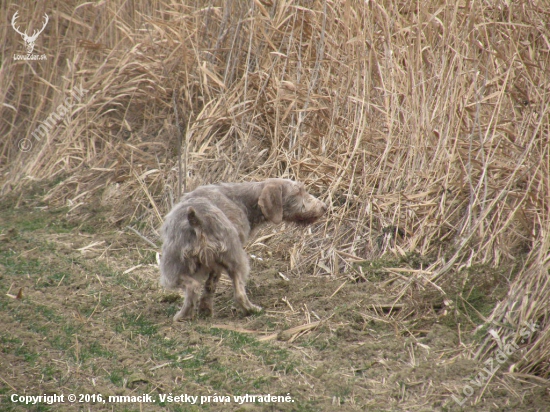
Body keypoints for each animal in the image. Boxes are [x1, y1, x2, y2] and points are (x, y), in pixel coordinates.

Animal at [160, 179, 328, 320]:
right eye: (298, 192)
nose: (324, 207)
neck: (241, 201)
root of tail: (197, 221)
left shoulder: (216, 263)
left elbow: (210, 287)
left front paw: (205, 310)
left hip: (174, 263)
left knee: (193, 287)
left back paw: (183, 316)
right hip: (235, 259)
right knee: (238, 293)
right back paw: (251, 310)